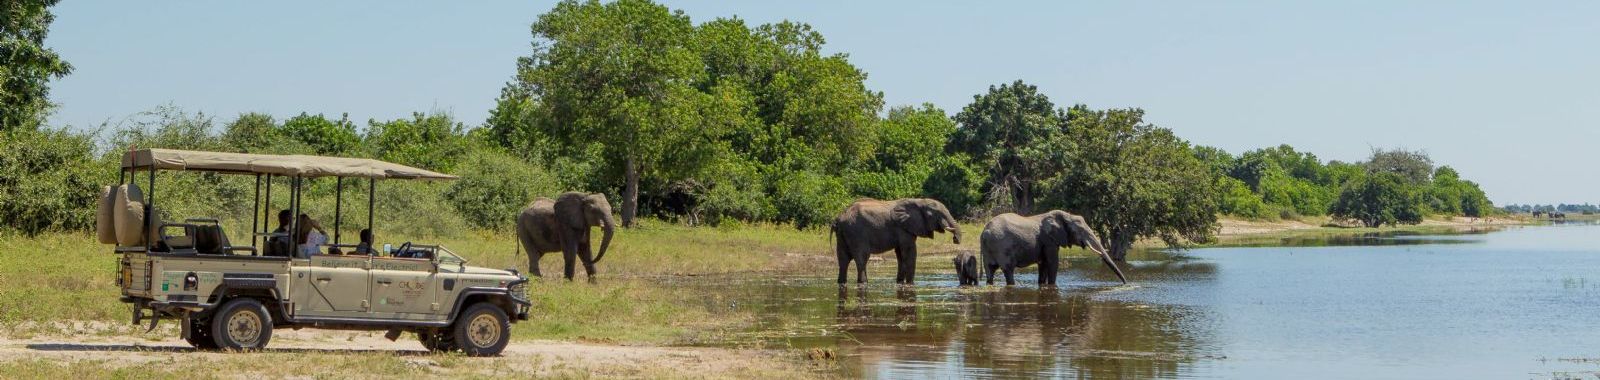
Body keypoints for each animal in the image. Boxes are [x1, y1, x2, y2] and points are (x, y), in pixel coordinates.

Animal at [972, 210, 1126, 284]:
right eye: (1080, 231)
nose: (1125, 283)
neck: (1066, 215)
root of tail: (984, 233)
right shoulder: (1049, 240)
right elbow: (1052, 263)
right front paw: (1051, 285)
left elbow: (1044, 265)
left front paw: (1042, 284)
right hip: (1001, 246)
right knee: (1008, 270)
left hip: (989, 249)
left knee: (990, 271)